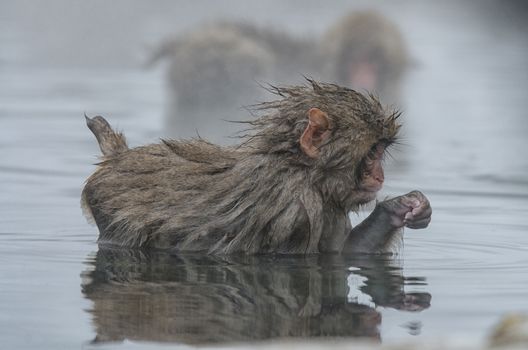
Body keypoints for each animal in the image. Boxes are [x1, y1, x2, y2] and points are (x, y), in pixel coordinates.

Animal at [81, 80, 428, 254]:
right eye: (373, 152)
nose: (379, 175)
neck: (299, 171)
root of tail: (115, 159)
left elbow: (347, 252)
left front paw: (402, 208)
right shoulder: (298, 211)